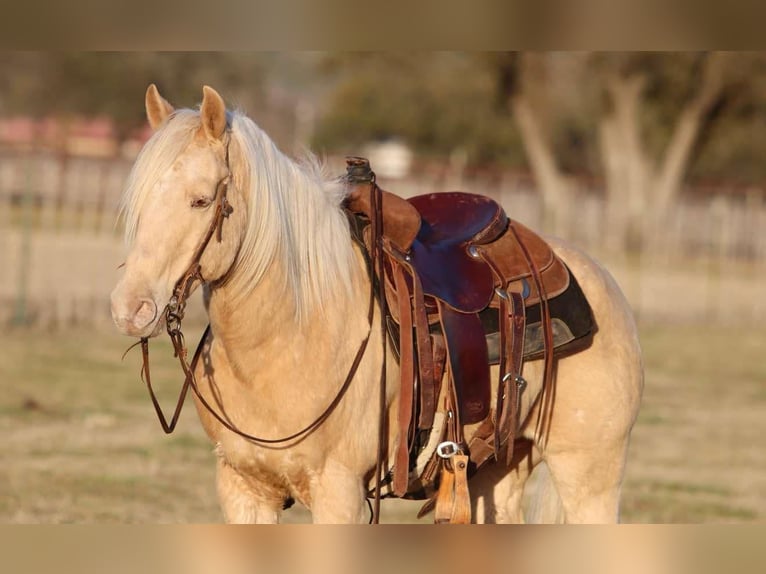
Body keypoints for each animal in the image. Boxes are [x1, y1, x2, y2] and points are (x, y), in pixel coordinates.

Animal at [111, 85, 644, 528]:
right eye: (136, 199)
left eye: (202, 200)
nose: (129, 307)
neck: (289, 336)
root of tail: (599, 280)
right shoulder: (243, 488)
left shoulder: (339, 492)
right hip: (496, 474)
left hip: (589, 474)